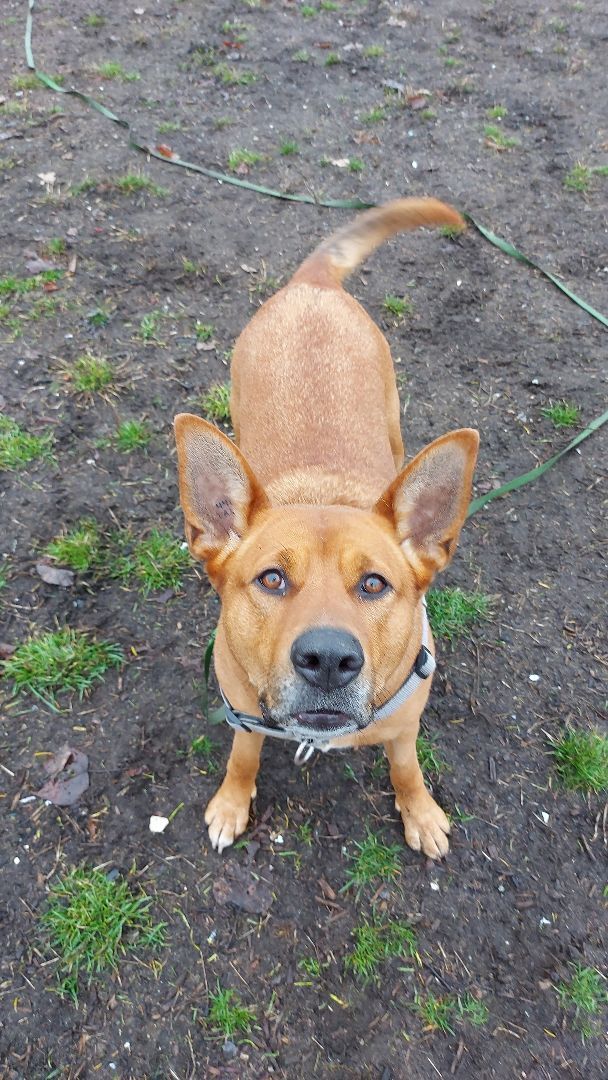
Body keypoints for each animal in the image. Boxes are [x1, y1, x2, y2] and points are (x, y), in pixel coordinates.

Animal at [176, 198, 481, 859]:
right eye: (270, 579)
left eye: (373, 584)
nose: (328, 660)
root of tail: (312, 284)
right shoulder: (243, 714)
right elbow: (242, 757)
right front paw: (232, 803)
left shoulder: (404, 727)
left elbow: (405, 768)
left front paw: (419, 811)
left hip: (392, 414)